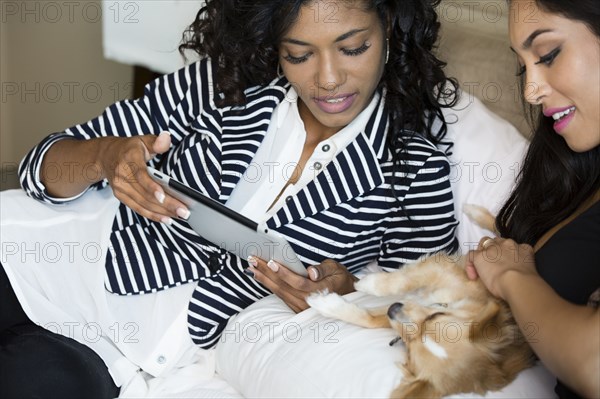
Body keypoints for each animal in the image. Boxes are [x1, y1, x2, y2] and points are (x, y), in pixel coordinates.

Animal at [310, 208, 536, 398]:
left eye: (409, 349)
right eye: (435, 316)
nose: (394, 307)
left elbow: (372, 319)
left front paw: (328, 304)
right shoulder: (441, 272)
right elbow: (400, 281)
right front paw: (365, 284)